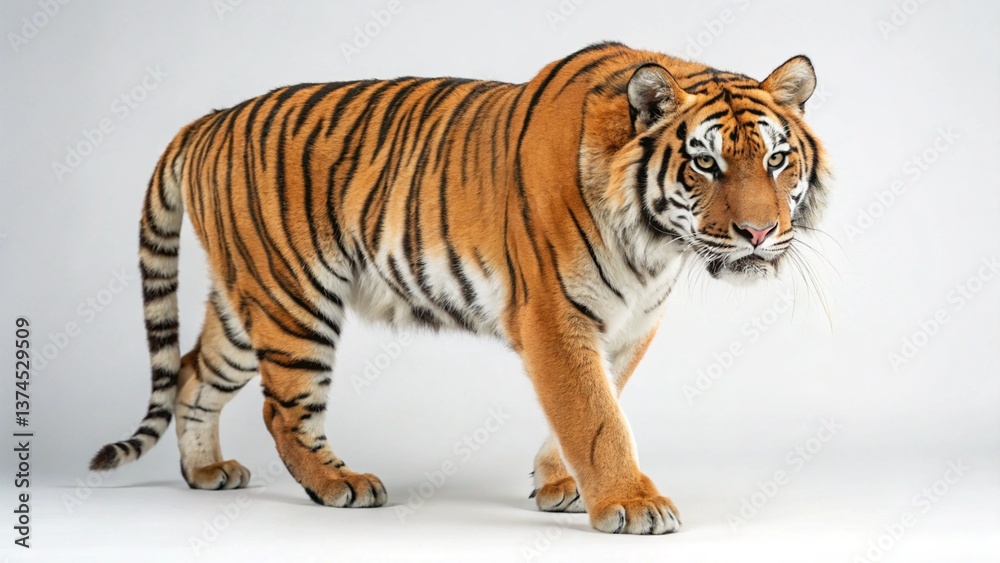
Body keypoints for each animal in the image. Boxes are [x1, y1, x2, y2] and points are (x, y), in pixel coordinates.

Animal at [90, 41, 829, 535]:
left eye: (776, 159)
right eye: (705, 164)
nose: (760, 232)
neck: (654, 243)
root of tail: (208, 119)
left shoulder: (628, 324)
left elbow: (594, 404)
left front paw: (560, 483)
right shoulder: (554, 318)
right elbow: (594, 415)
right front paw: (630, 501)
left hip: (247, 306)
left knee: (192, 372)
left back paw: (206, 473)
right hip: (293, 300)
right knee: (283, 411)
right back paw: (340, 483)